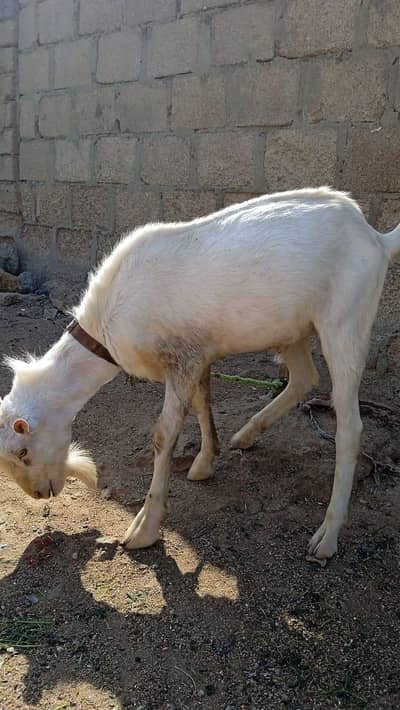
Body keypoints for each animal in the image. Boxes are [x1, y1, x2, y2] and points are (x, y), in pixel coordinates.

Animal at [1, 187, 399, 560]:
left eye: (23, 451)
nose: (40, 493)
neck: (105, 327)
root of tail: (375, 238)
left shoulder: (182, 357)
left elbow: (164, 434)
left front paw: (144, 528)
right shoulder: (199, 352)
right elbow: (202, 402)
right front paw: (205, 462)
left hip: (345, 320)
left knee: (349, 425)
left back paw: (327, 537)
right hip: (291, 329)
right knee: (304, 378)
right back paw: (246, 435)